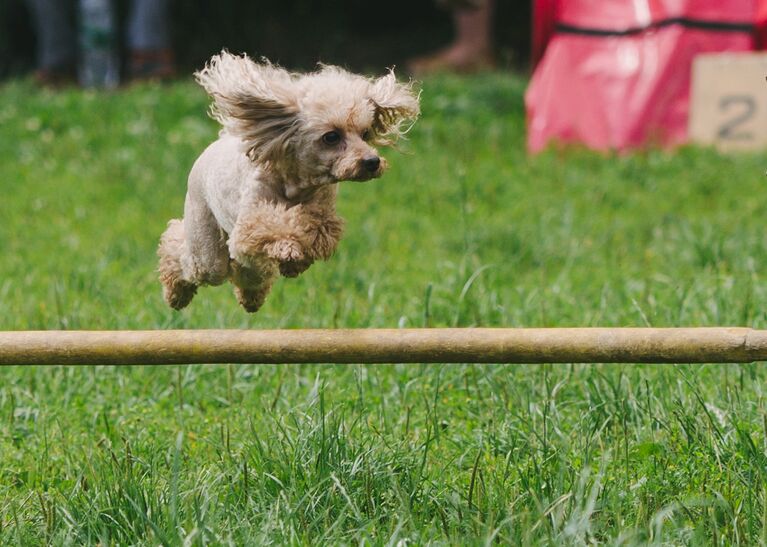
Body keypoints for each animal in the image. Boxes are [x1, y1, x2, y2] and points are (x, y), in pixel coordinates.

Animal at [157, 54, 420, 314]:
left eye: (365, 134)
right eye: (331, 137)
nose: (372, 162)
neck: (295, 183)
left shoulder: (323, 210)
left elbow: (316, 228)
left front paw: (295, 261)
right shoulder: (250, 221)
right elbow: (270, 227)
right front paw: (288, 248)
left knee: (247, 269)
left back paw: (251, 298)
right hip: (206, 244)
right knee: (188, 253)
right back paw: (176, 295)